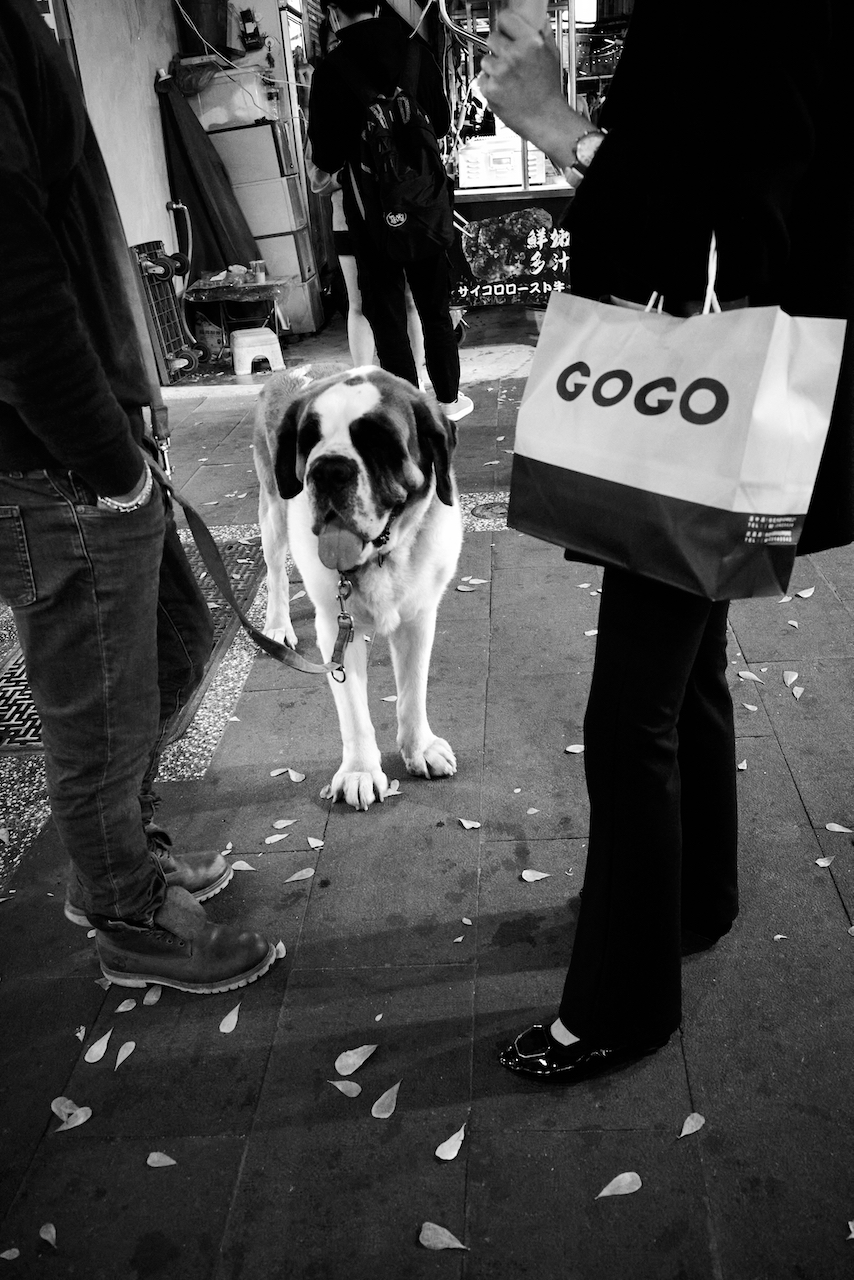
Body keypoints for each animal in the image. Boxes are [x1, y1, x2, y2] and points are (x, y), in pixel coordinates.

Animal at [253, 365, 463, 810]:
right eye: (309, 439)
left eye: (377, 440)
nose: (328, 469)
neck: (382, 556)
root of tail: (286, 370)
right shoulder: (336, 628)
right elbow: (352, 711)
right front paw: (360, 772)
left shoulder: (418, 618)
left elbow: (412, 692)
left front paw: (419, 748)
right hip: (273, 510)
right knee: (275, 570)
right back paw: (278, 624)